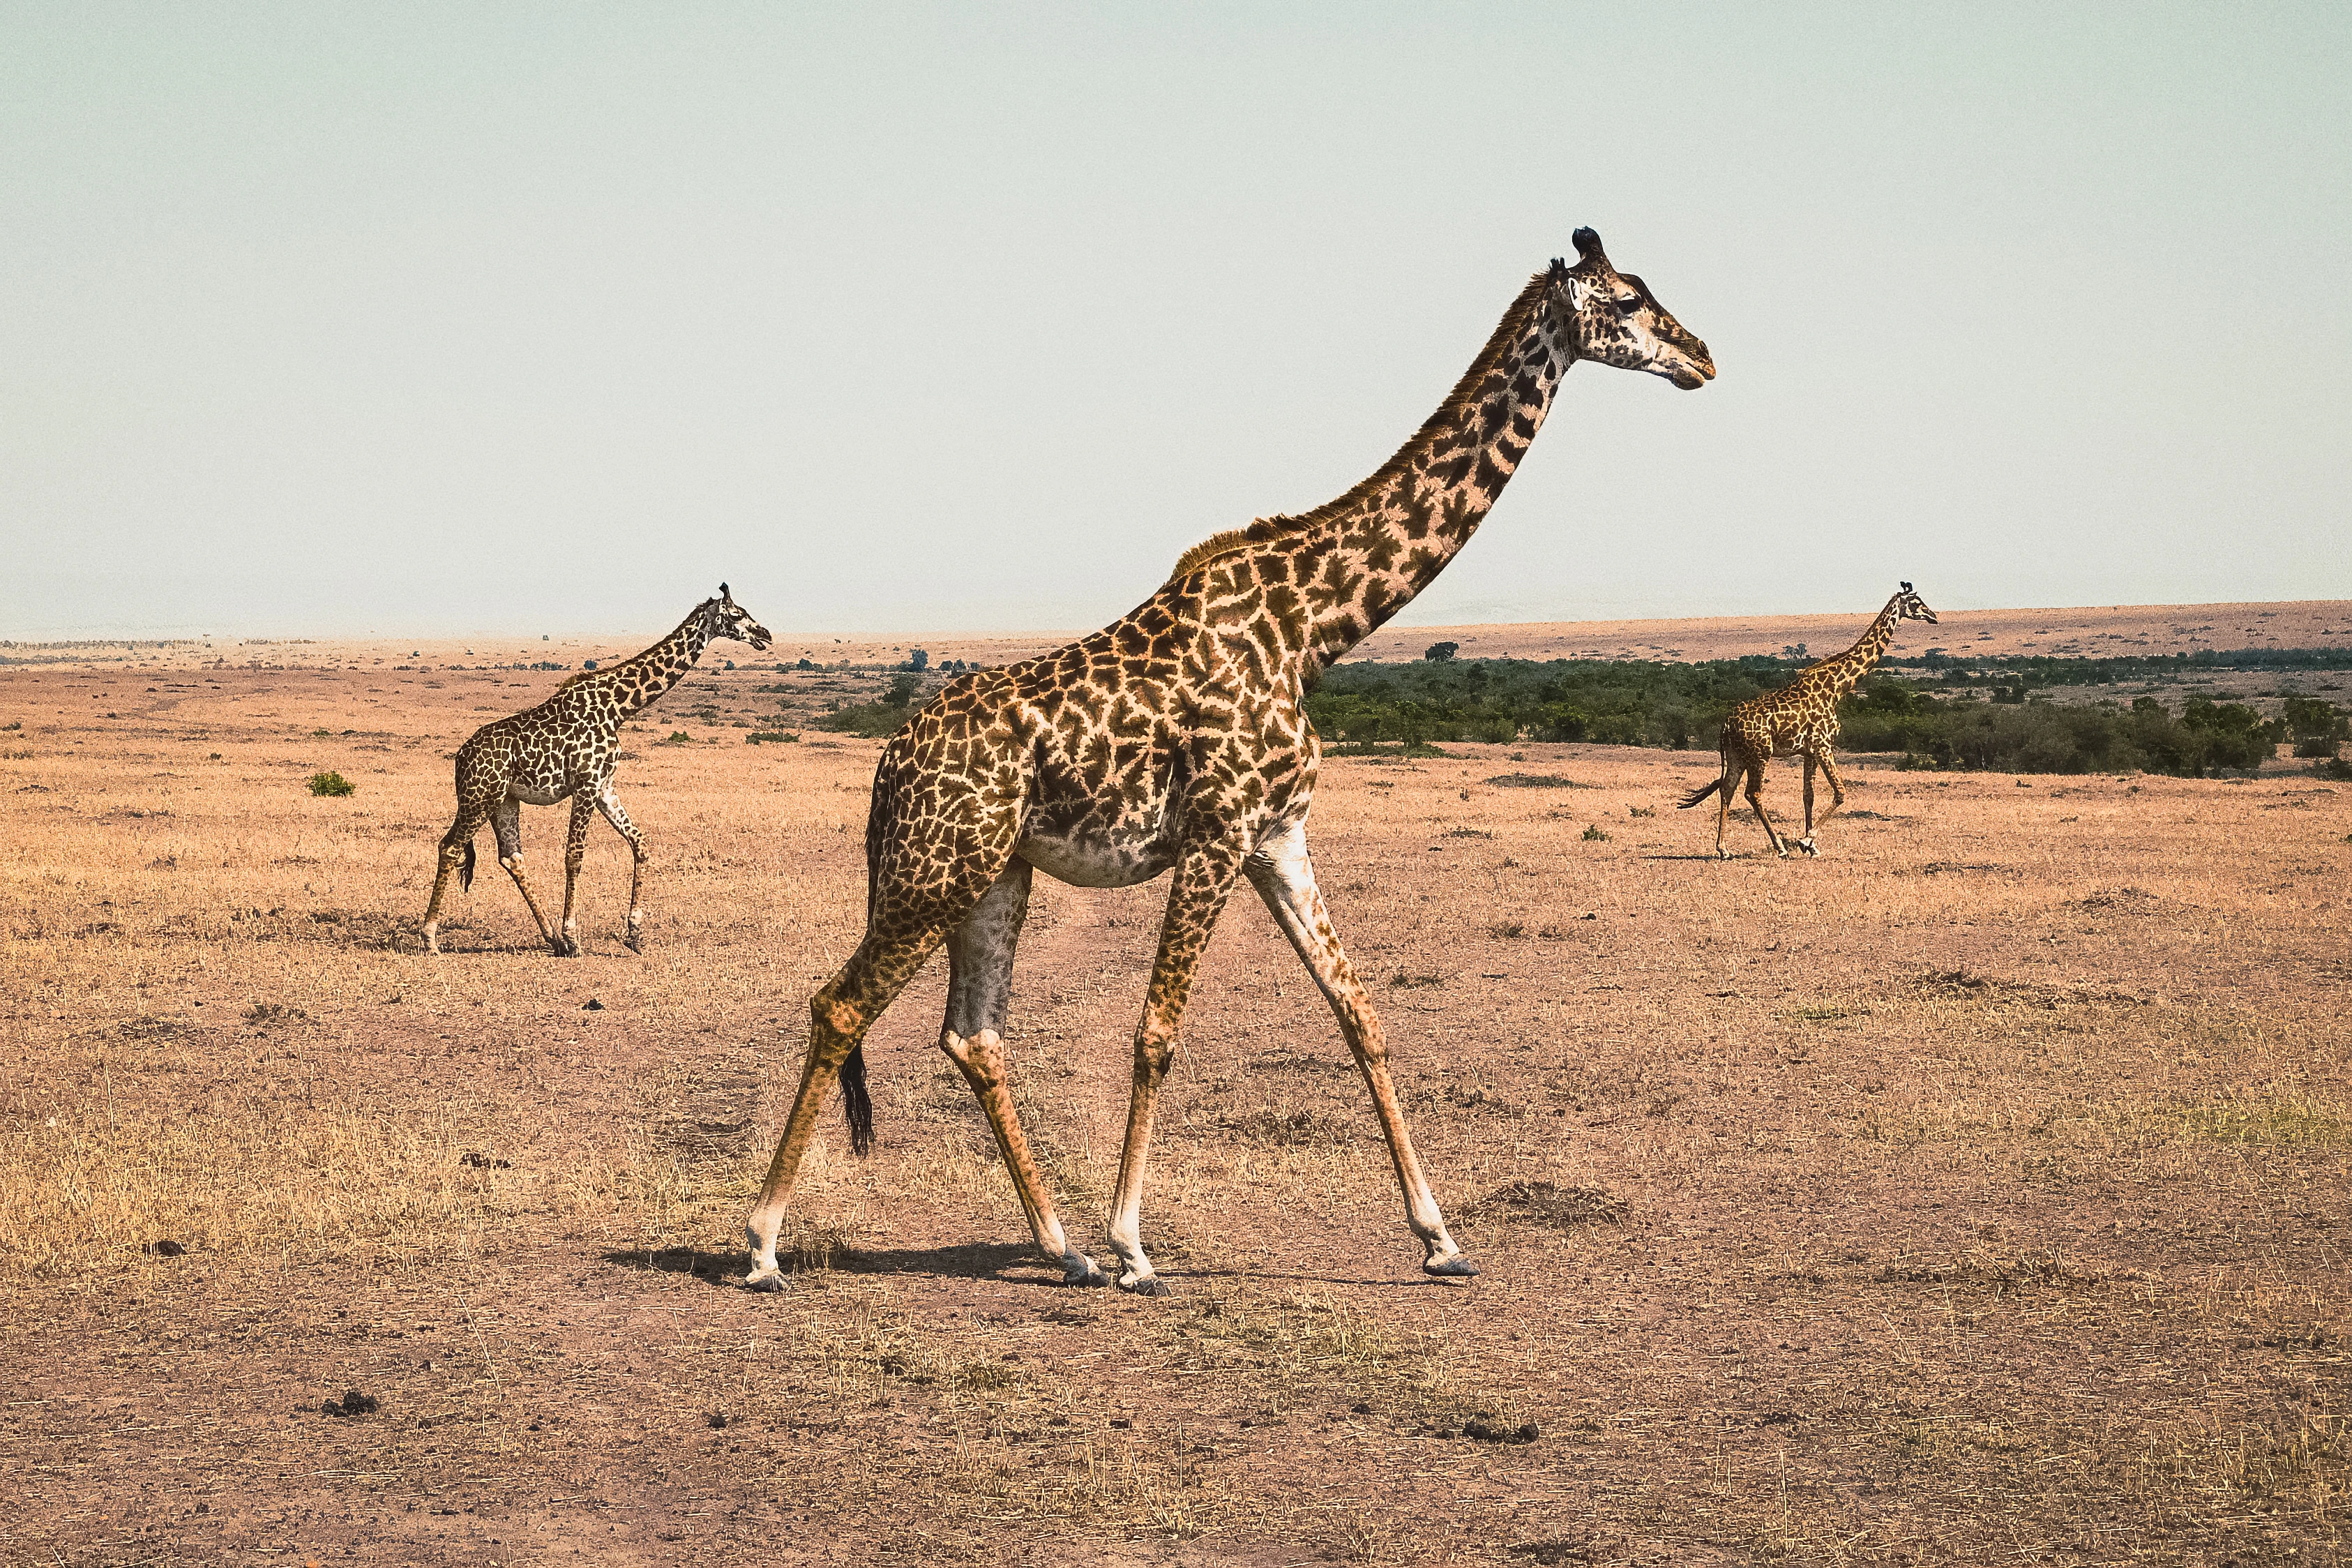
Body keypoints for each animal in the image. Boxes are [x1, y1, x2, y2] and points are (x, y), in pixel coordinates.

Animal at [420, 586, 771, 958]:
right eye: (737, 614)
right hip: (479, 797)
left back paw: (551, 938)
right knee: (451, 848)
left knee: (511, 856)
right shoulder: (586, 784)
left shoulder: (605, 787)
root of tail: (460, 758)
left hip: (503, 800)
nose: (765, 635)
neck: (618, 708)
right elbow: (574, 856)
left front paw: (634, 933)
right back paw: (430, 939)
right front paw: (574, 937)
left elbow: (640, 843)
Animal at [741, 229, 1715, 1295]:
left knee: (974, 1031)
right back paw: (765, 1244)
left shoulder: (1277, 835)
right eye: (1628, 300)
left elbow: (1359, 1012)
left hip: (994, 875)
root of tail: (889, 762)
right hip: (935, 869)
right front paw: (1135, 1245)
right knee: (840, 1006)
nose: (1703, 357)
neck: (1313, 625)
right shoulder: (1215, 831)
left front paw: (1441, 1238)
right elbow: (1158, 1033)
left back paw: (1060, 1247)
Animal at [1678, 584, 1937, 859]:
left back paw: (1723, 848)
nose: (1934, 616)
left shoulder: (1809, 751)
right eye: (1917, 602)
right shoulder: (1823, 745)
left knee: (1727, 789)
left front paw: (1812, 846)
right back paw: (1780, 847)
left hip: (1737, 754)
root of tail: (1725, 725)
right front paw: (1805, 841)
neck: (1837, 687)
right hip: (1760, 753)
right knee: (1753, 793)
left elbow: (1808, 795)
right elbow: (1840, 792)